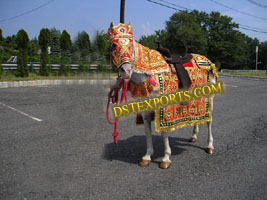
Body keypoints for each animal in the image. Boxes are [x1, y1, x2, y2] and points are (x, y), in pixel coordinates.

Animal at [107, 22, 220, 169]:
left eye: (131, 44)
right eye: (113, 45)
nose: (126, 71)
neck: (147, 74)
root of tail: (209, 62)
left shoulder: (163, 108)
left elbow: (164, 132)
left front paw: (166, 158)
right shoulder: (145, 109)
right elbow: (147, 132)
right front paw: (147, 156)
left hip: (209, 98)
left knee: (209, 121)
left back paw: (210, 146)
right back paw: (194, 136)